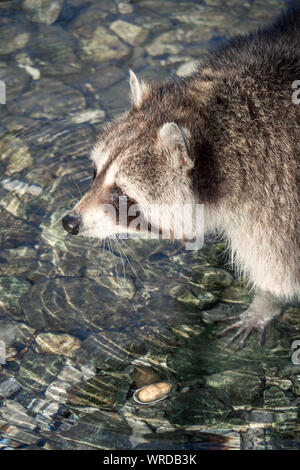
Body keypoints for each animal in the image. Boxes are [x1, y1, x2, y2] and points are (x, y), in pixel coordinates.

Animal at [62, 3, 300, 348]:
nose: (70, 222)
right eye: (95, 172)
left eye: (121, 194)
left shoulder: (277, 196)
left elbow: (280, 271)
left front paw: (265, 303)